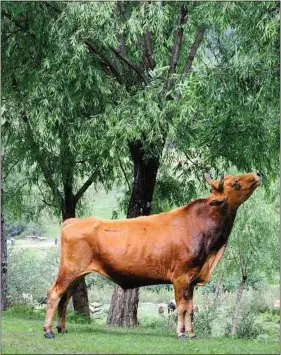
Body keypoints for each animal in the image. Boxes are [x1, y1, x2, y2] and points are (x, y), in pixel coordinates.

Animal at [43, 174, 260, 340]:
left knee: (65, 297)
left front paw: (192, 333)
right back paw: (48, 331)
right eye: (236, 182)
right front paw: (181, 334)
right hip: (69, 269)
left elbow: (190, 308)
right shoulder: (180, 277)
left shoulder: (191, 279)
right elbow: (182, 307)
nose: (257, 174)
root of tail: (73, 221)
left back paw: (62, 328)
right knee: (54, 294)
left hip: (77, 274)